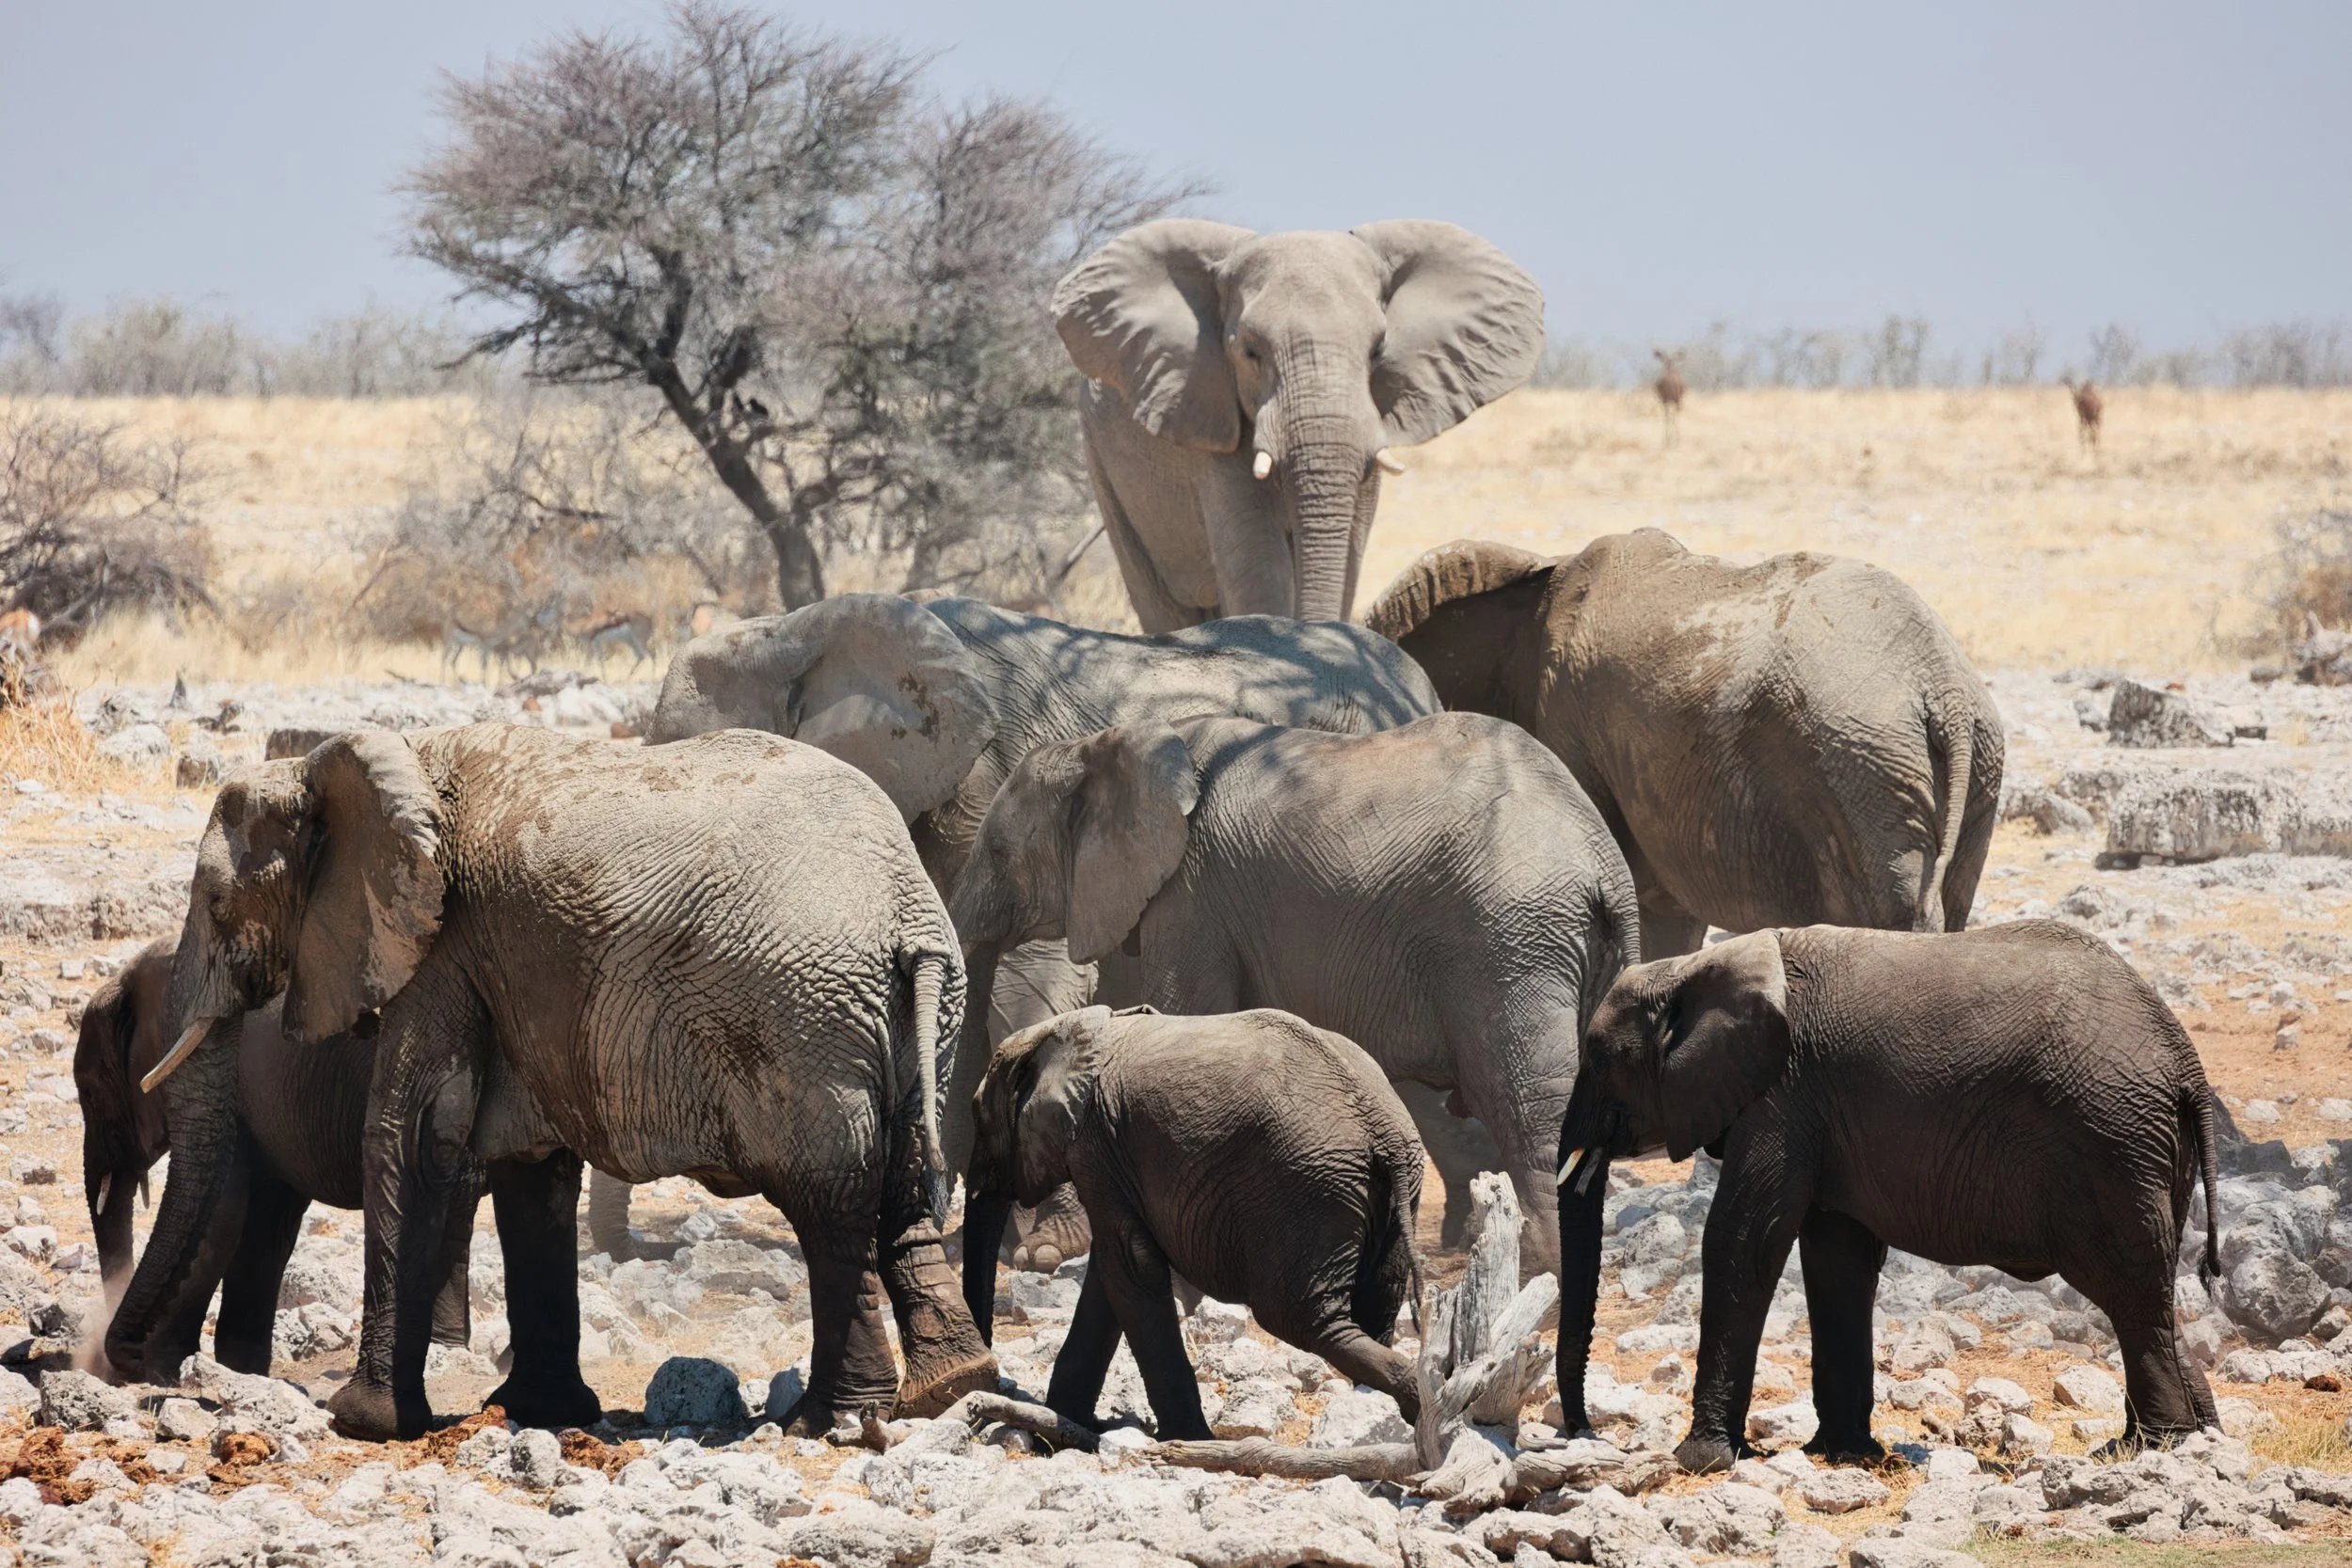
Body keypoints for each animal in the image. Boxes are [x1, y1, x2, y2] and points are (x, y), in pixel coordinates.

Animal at [74, 939, 474, 1376]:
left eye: (90, 1092)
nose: (117, 1353)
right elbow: (267, 1227)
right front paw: (241, 1369)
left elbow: (222, 1219)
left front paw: (159, 1368)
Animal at [949, 710, 1642, 1276]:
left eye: (999, 851)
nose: (1009, 1252)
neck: (1107, 742)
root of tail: (1607, 866)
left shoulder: (1191, 896)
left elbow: (1186, 1013)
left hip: (1511, 936)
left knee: (1524, 1095)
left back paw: (1539, 1268)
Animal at [962, 1005, 1423, 1440]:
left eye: (977, 1118)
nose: (987, 1384)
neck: (1071, 1030)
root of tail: (1381, 1129)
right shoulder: (1110, 1155)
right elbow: (1112, 1274)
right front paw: (1061, 1431)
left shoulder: (1096, 1146)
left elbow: (1128, 1266)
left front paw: (1187, 1440)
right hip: (1383, 1193)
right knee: (1375, 1304)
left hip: (1307, 1189)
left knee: (1299, 1318)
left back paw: (1414, 1399)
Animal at [1054, 220, 1543, 630]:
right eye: (1250, 352)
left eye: (1378, 350)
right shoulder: (1210, 416)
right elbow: (1261, 566)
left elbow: (1348, 556)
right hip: (1104, 464)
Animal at [1553, 922, 2222, 1474]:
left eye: (1598, 1058)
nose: (1582, 1433)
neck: (1697, 964)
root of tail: (2186, 1062)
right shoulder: (1818, 1111)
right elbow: (1836, 1258)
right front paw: (1843, 1453)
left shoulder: (1783, 1096)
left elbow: (1745, 1240)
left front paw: (1703, 1461)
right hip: (2148, 1152)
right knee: (2153, 1291)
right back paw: (2193, 1437)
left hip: (2109, 1145)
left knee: (2132, 1291)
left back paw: (2150, 1448)